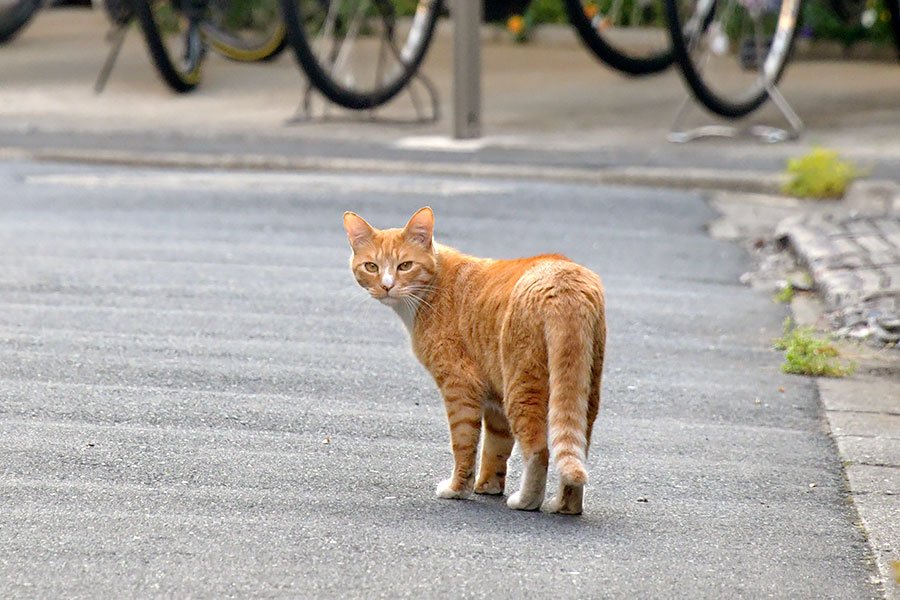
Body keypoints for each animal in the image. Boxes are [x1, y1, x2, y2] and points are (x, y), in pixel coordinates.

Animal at [342, 207, 604, 516]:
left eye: (405, 265)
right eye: (371, 267)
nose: (386, 286)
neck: (432, 288)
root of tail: (563, 279)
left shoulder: (459, 387)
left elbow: (464, 444)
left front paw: (458, 489)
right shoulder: (494, 397)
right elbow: (496, 446)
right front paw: (488, 486)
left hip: (522, 386)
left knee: (539, 449)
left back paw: (526, 501)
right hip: (584, 388)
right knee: (576, 449)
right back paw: (566, 506)